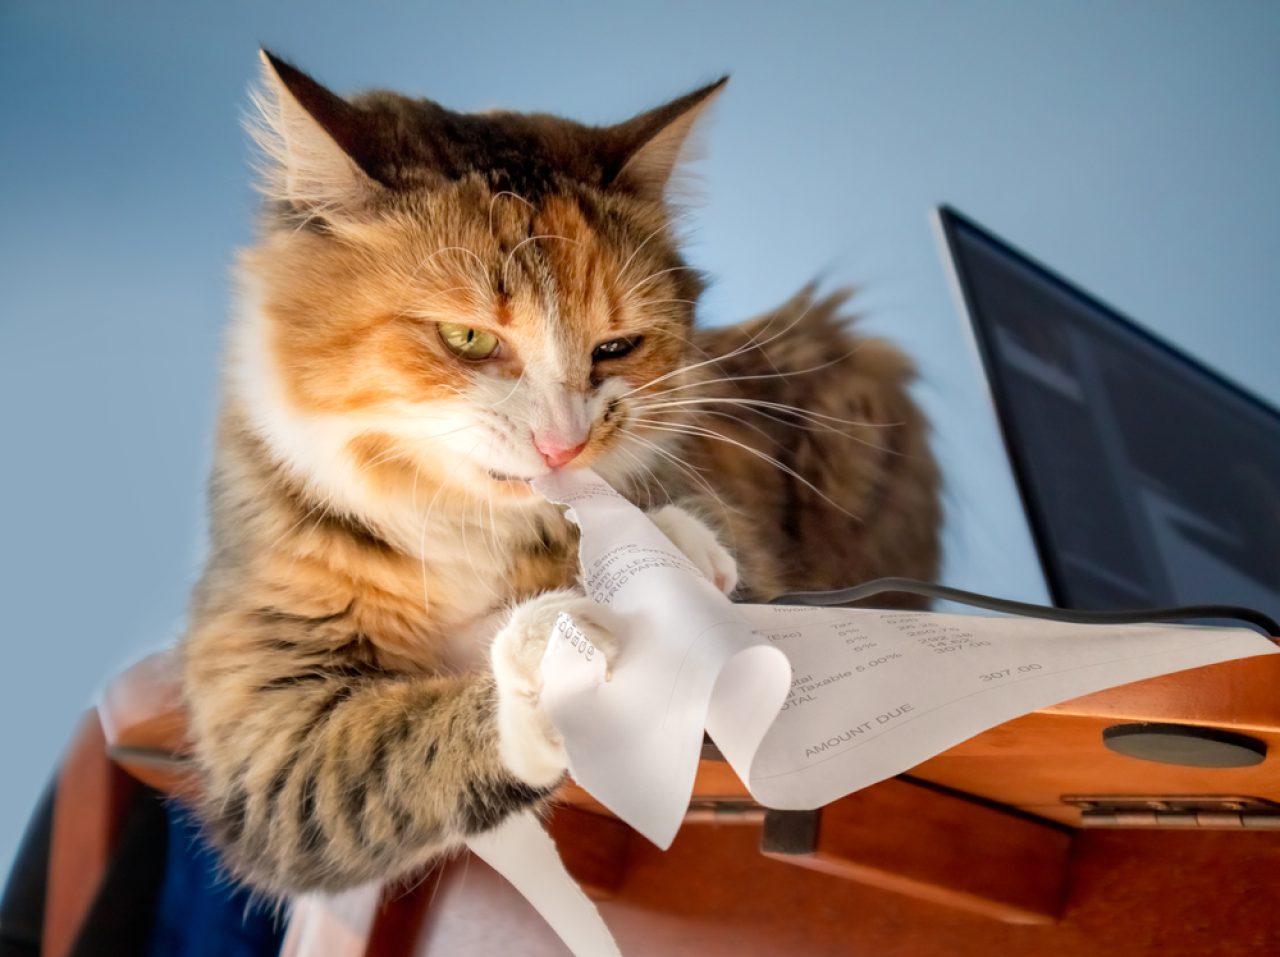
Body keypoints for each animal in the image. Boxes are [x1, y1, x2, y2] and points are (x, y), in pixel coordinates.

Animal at [183, 48, 942, 895]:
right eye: (468, 338)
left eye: (615, 347)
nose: (563, 446)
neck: (467, 532)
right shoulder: (266, 722)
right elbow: (393, 743)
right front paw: (561, 653)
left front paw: (668, 558)